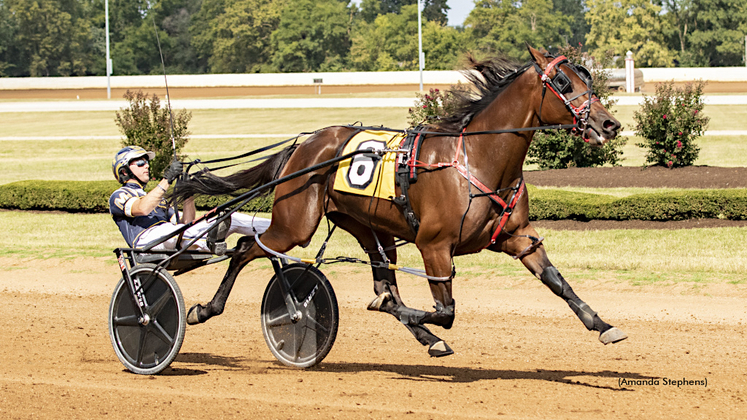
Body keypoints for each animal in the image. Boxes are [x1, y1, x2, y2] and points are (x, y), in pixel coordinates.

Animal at [172, 46, 628, 358]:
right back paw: (204, 308)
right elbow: (445, 309)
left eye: (587, 79)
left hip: (368, 228)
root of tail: (304, 145)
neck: (477, 159)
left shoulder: (517, 237)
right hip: (295, 223)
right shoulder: (434, 246)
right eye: (564, 83)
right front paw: (413, 315)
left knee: (380, 277)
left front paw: (603, 324)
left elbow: (557, 282)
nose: (610, 124)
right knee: (246, 248)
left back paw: (424, 335)